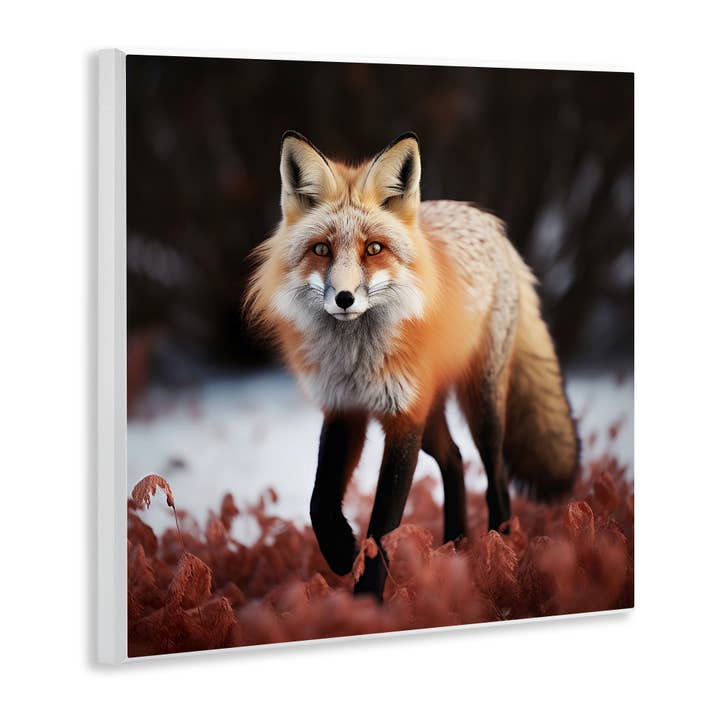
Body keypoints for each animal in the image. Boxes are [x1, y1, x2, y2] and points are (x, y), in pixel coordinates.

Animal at [246, 131, 579, 598]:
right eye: (321, 249)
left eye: (374, 249)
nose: (344, 298)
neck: (357, 360)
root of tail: (490, 224)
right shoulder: (345, 408)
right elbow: (319, 503)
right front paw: (341, 551)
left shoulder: (403, 417)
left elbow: (383, 525)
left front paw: (367, 601)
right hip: (431, 414)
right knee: (454, 458)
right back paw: (456, 547)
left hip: (481, 406)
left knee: (496, 478)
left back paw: (500, 553)